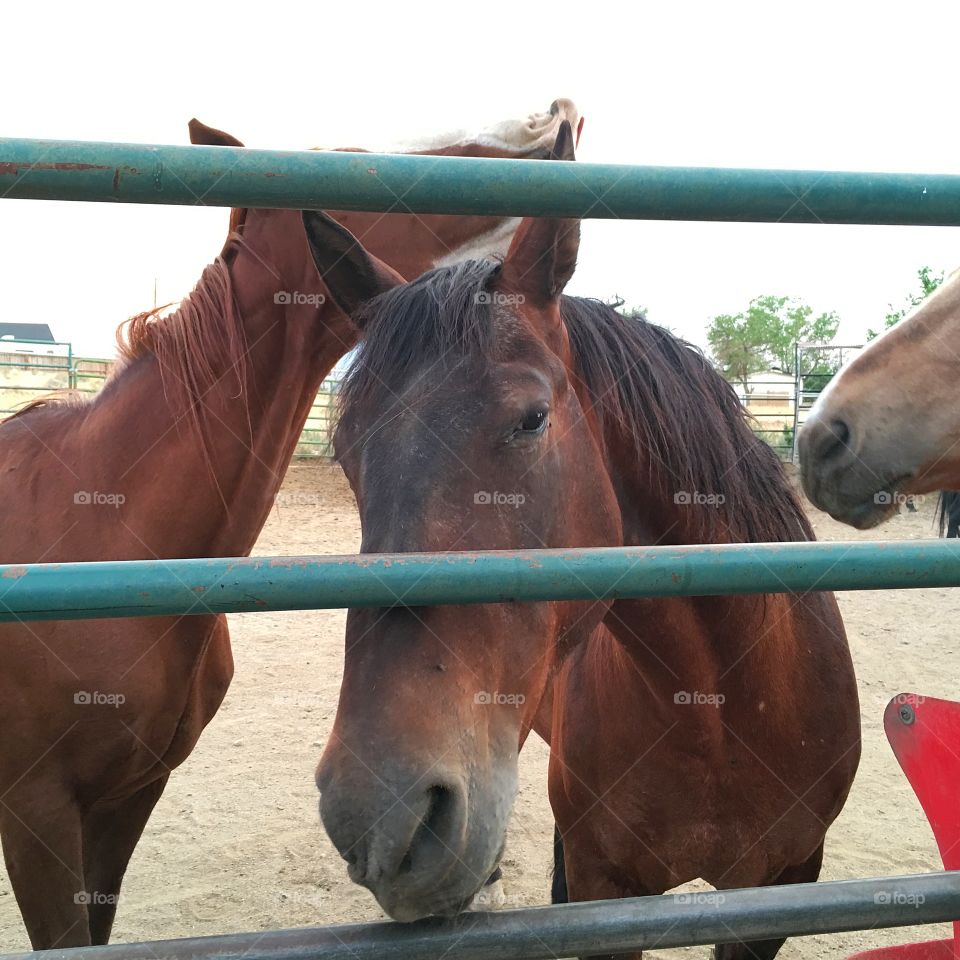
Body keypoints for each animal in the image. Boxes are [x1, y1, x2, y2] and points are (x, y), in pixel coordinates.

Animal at [302, 122, 864, 960]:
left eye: (532, 419)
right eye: (345, 449)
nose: (382, 820)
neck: (721, 710)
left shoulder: (781, 890)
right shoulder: (606, 895)